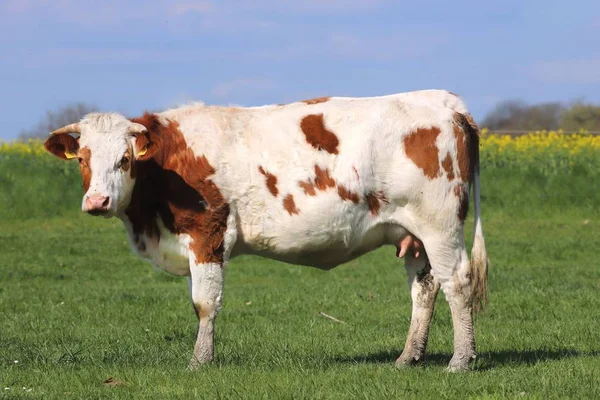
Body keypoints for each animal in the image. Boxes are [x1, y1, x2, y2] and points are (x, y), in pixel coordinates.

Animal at [45, 90, 488, 372]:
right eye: (82, 158)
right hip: (412, 235)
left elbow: (204, 303)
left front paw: (199, 362)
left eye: (124, 159)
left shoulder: (208, 233)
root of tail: (444, 101)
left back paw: (460, 361)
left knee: (458, 282)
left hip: (440, 225)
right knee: (425, 288)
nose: (97, 202)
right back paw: (408, 358)